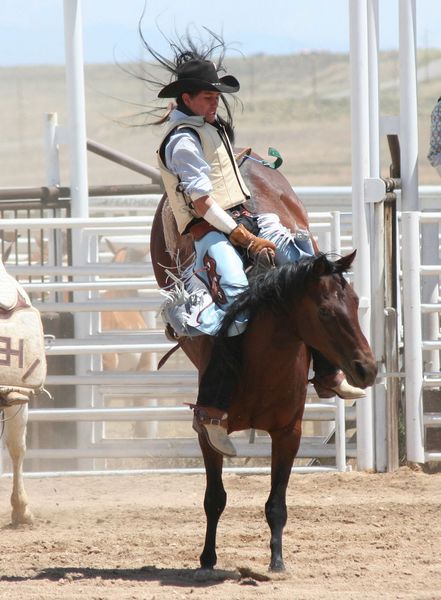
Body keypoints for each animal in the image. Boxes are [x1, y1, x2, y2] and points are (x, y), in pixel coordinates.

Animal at [150, 155, 376, 572]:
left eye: (354, 303)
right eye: (324, 311)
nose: (367, 368)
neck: (260, 363)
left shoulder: (289, 432)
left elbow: (277, 504)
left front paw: (277, 561)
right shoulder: (206, 430)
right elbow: (215, 498)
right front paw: (207, 559)